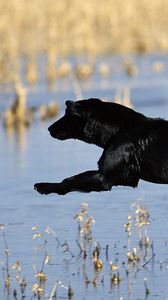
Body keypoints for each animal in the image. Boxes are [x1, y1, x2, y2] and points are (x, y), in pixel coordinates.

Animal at [34, 99, 168, 195]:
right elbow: (75, 177)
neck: (118, 128)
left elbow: (70, 180)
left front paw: (44, 186)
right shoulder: (127, 178)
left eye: (68, 115)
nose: (49, 128)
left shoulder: (103, 178)